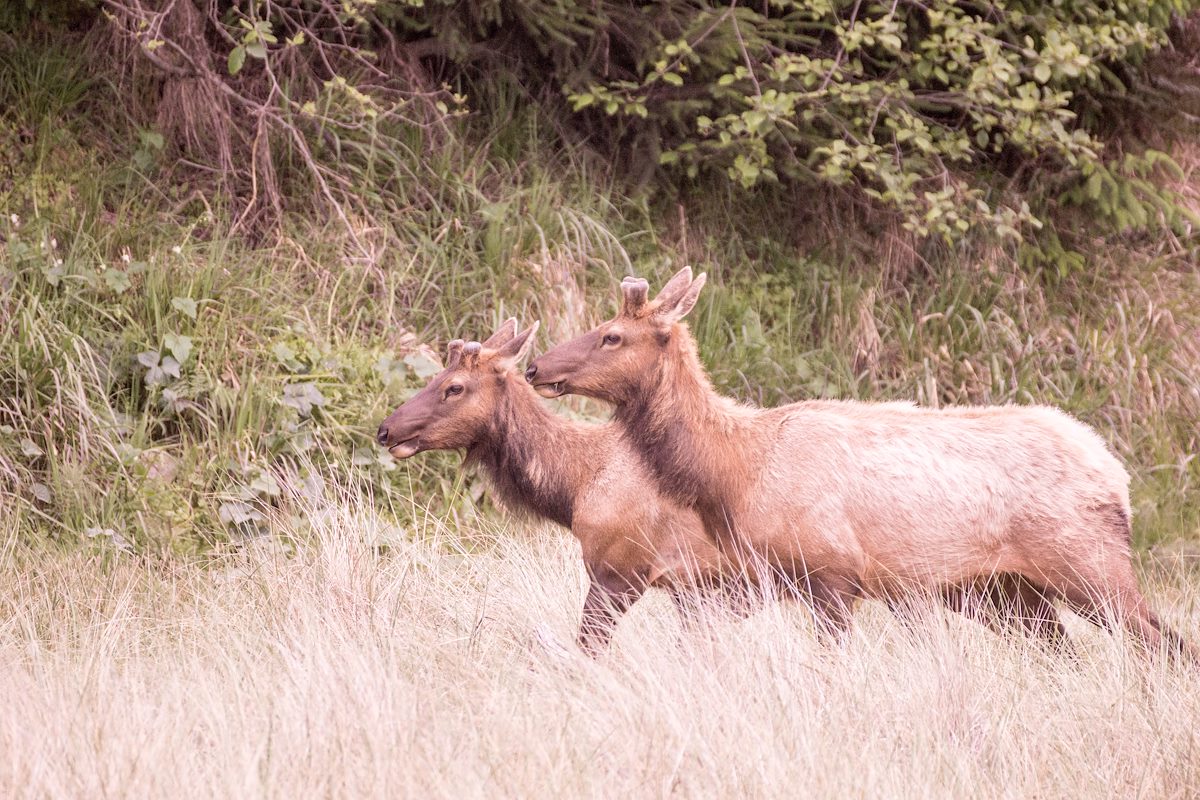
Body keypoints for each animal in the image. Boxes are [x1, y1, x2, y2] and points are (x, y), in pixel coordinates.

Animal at [528, 268, 1190, 657]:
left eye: (612, 335)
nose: (535, 366)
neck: (738, 471)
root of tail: (1118, 477)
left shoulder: (831, 572)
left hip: (1090, 564)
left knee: (1165, 642)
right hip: (1008, 593)